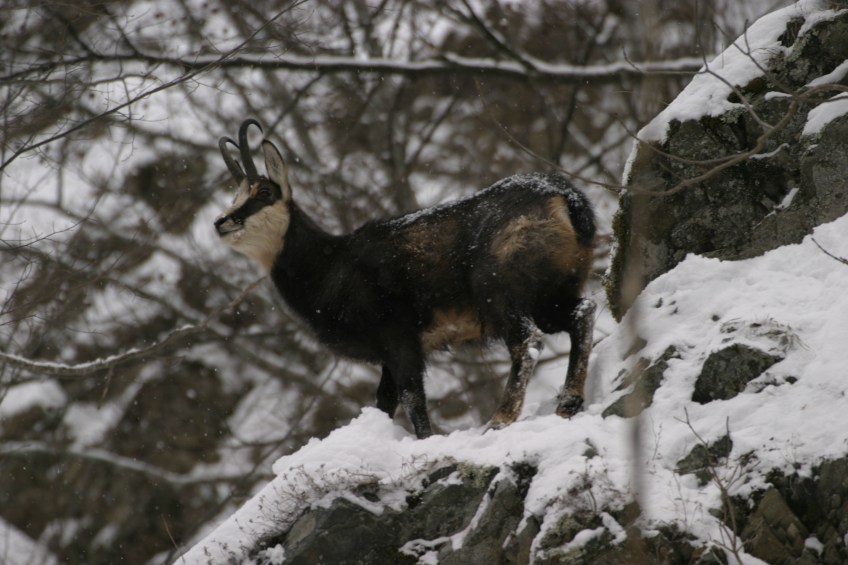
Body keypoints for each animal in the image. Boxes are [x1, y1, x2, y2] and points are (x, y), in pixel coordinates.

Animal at [214, 119, 596, 439]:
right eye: (235, 195)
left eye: (264, 193)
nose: (221, 222)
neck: (328, 266)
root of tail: (565, 198)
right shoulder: (388, 353)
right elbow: (384, 401)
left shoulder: (398, 336)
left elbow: (412, 397)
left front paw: (426, 440)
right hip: (553, 290)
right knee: (582, 311)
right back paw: (569, 401)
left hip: (499, 288)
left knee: (527, 340)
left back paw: (500, 419)